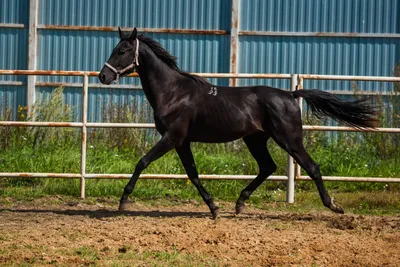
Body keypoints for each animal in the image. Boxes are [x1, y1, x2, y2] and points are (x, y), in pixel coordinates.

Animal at [100, 27, 378, 220]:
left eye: (122, 50)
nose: (103, 76)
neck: (173, 92)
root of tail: (291, 95)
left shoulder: (172, 137)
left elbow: (142, 162)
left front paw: (123, 200)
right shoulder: (182, 142)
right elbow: (193, 174)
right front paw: (214, 208)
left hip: (289, 139)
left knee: (312, 167)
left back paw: (333, 206)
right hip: (255, 139)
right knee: (267, 166)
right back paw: (240, 203)